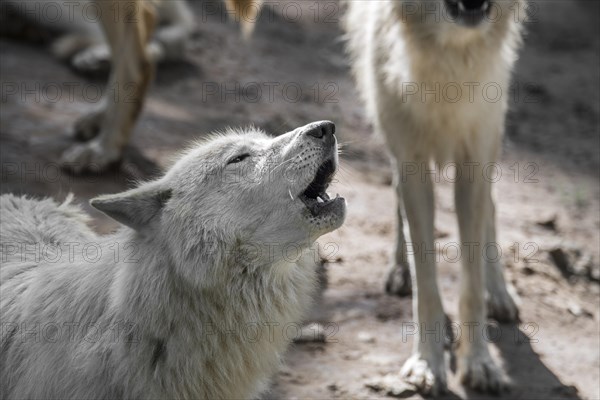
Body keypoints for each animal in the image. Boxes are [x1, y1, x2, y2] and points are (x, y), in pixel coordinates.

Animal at [344, 0, 528, 396]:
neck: (449, 56)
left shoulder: (475, 159)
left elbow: (471, 284)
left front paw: (480, 363)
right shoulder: (411, 162)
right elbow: (426, 280)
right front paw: (427, 363)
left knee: (492, 208)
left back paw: (500, 294)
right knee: (397, 202)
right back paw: (400, 270)